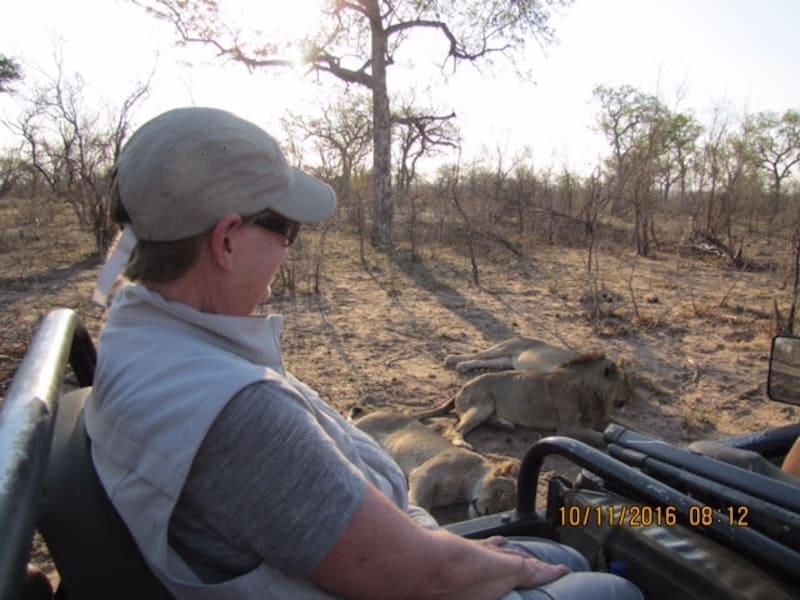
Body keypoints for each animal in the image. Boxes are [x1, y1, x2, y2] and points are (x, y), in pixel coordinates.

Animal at [352, 410, 516, 516]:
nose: (488, 512)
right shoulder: (422, 474)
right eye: (500, 492)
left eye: (502, 509)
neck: (464, 489)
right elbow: (421, 506)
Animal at [444, 336, 580, 372]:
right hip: (504, 347)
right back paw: (451, 358)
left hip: (506, 361)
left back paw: (463, 366)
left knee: (483, 361)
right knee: (479, 355)